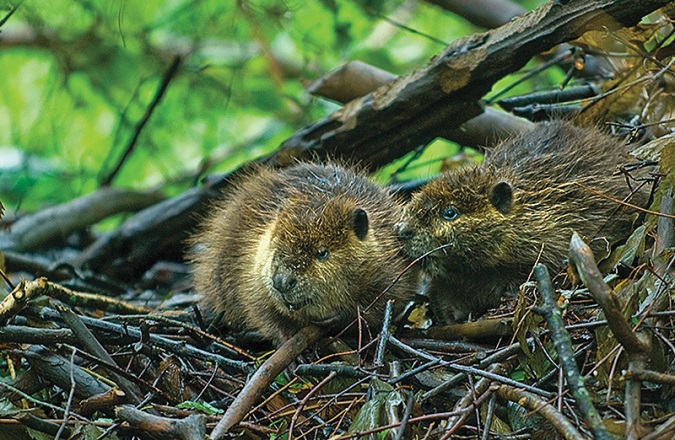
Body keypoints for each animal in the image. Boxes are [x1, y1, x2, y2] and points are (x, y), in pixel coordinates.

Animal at [189, 162, 418, 344]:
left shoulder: (393, 265)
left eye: (322, 252)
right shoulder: (249, 266)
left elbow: (387, 300)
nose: (282, 281)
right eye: (276, 245)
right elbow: (260, 309)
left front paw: (338, 316)